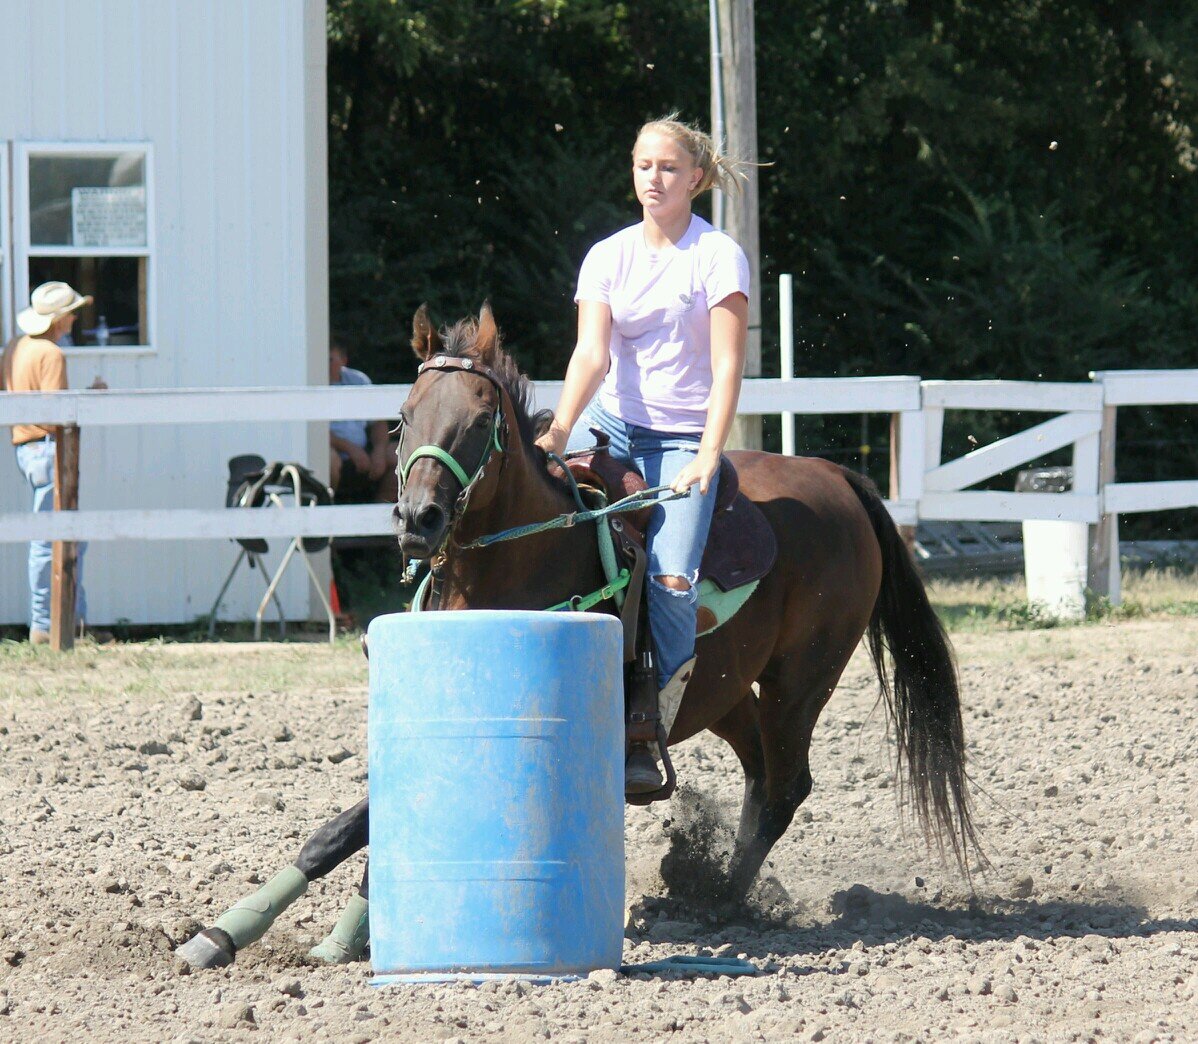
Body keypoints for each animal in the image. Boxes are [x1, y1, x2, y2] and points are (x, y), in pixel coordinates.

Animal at [176, 304, 978, 971]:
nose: (418, 520)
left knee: (785, 787)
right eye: (402, 419)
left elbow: (363, 831)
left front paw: (291, 937)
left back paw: (717, 906)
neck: (521, 556)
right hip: (724, 693)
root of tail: (838, 480)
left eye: (480, 421)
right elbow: (351, 831)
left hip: (800, 679)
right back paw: (705, 892)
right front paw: (241, 934)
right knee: (761, 779)